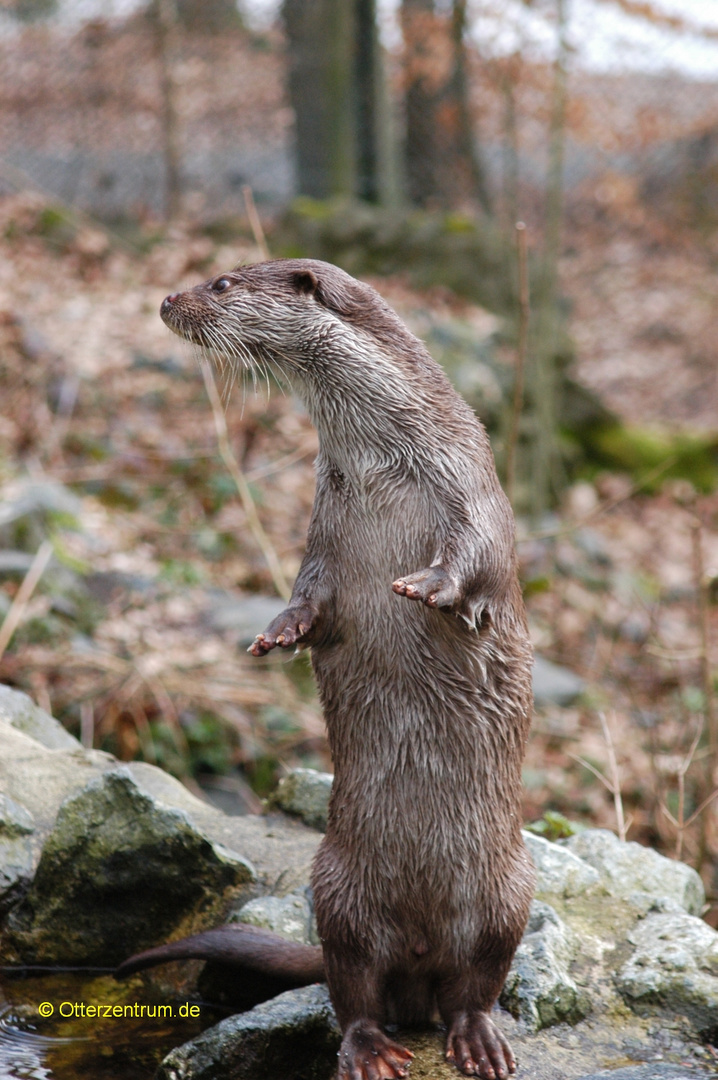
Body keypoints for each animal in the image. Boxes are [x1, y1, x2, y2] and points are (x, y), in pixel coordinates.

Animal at [117, 259, 531, 1080]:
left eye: (221, 282)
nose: (168, 298)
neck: (385, 464)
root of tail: (421, 957)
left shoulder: (472, 483)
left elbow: (479, 557)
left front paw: (428, 587)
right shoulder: (322, 526)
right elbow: (309, 592)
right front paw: (279, 633)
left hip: (510, 890)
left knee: (477, 984)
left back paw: (476, 1039)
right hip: (337, 890)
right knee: (354, 989)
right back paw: (371, 1047)